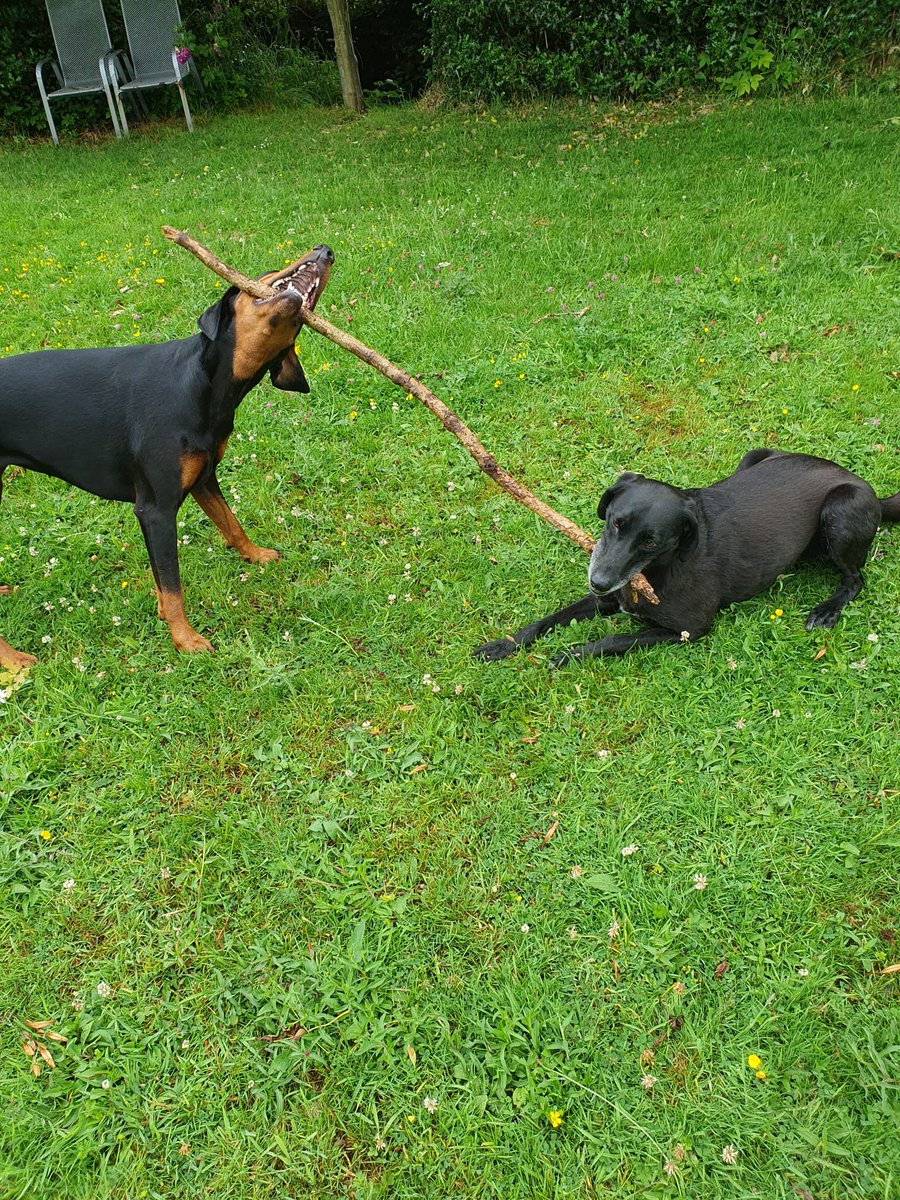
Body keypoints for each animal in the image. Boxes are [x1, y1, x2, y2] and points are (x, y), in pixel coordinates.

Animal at [0, 241, 336, 667]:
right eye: (267, 272)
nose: (326, 249)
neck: (201, 384)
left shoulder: (203, 478)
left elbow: (230, 525)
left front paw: (255, 555)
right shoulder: (155, 510)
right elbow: (173, 584)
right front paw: (186, 639)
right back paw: (14, 661)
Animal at [475, 448, 897, 662]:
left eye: (651, 542)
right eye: (615, 522)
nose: (599, 582)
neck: (657, 571)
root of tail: (870, 489)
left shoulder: (688, 629)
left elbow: (616, 639)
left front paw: (572, 653)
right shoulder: (609, 599)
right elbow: (546, 620)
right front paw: (503, 645)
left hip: (839, 512)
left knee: (855, 578)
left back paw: (827, 609)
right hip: (756, 455)